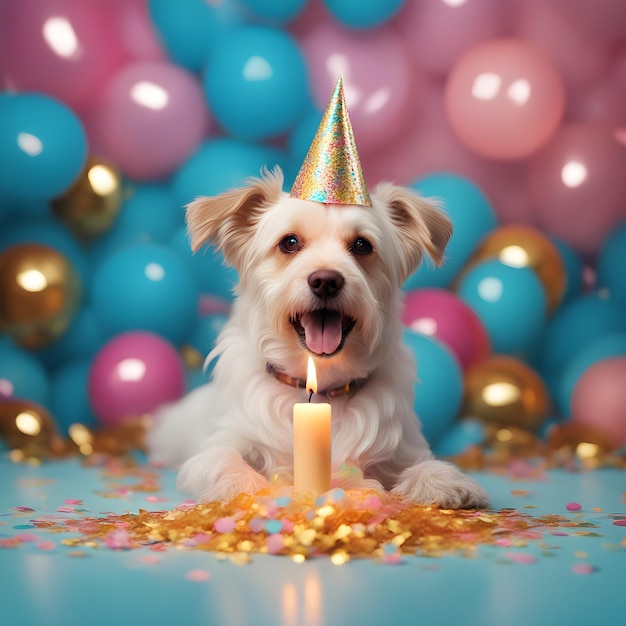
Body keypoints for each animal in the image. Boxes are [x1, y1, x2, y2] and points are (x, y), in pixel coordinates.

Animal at [146, 168, 488, 510]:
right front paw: (245, 489)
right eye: (289, 242)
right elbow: (225, 460)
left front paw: (444, 481)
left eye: (362, 245)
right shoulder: (216, 447)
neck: (321, 388)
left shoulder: (408, 448)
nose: (326, 281)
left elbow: (423, 464)